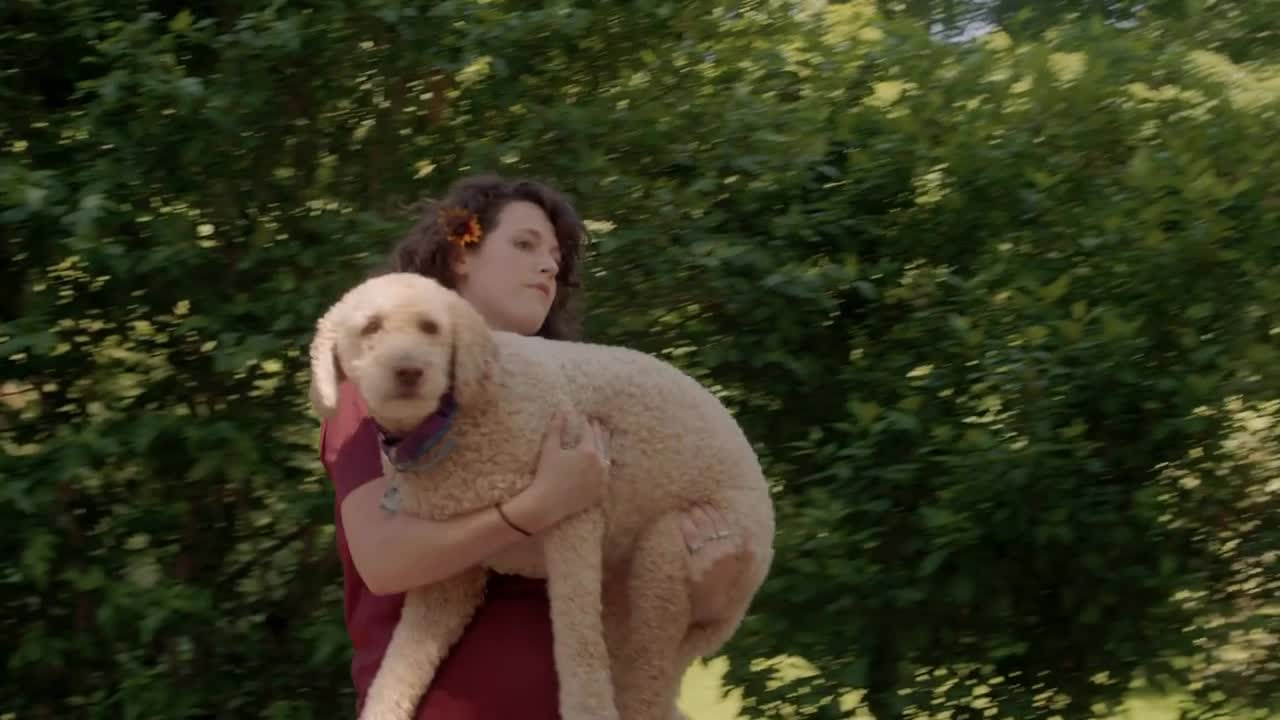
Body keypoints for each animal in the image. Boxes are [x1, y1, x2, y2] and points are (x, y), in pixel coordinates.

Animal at [309, 270, 768, 717]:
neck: (452, 423)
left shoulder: (575, 518)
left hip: (668, 555)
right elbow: (400, 665)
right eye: (371, 327)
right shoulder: (448, 577)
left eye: (431, 327)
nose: (409, 371)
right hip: (628, 595)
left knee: (647, 678)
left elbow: (576, 642)